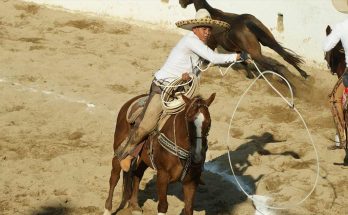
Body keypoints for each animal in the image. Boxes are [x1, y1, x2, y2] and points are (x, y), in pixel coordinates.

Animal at [179, 0, 308, 79]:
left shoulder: (212, 42)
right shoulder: (238, 49)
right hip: (268, 41)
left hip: (256, 53)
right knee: (285, 56)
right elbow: (243, 61)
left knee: (275, 67)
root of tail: (246, 22)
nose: (181, 3)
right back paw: (304, 75)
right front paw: (250, 75)